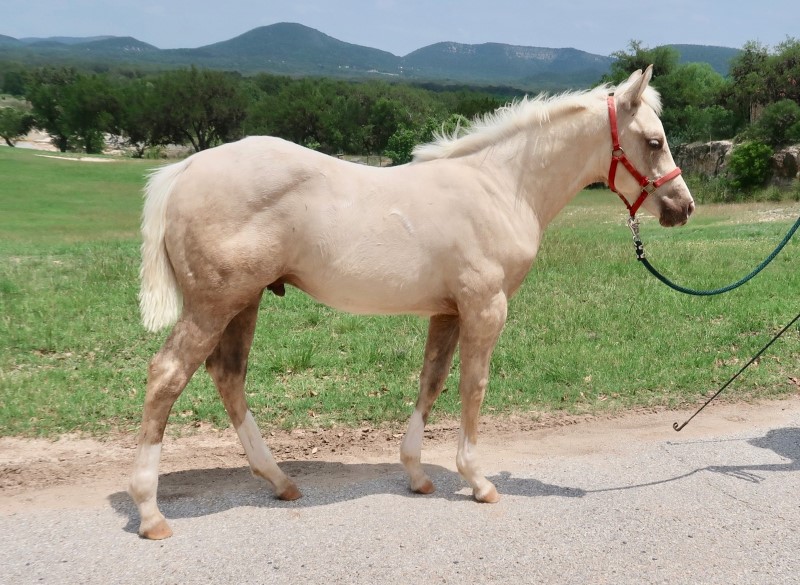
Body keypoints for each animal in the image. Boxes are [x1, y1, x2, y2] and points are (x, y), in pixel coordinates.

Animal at [131, 65, 692, 540]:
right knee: (167, 375)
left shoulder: (447, 310)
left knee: (228, 376)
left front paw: (417, 474)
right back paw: (151, 512)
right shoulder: (485, 308)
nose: (682, 207)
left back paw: (279, 481)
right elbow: (472, 386)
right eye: (654, 141)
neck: (501, 187)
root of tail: (183, 169)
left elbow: (432, 380)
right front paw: (478, 481)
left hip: (244, 302)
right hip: (215, 305)